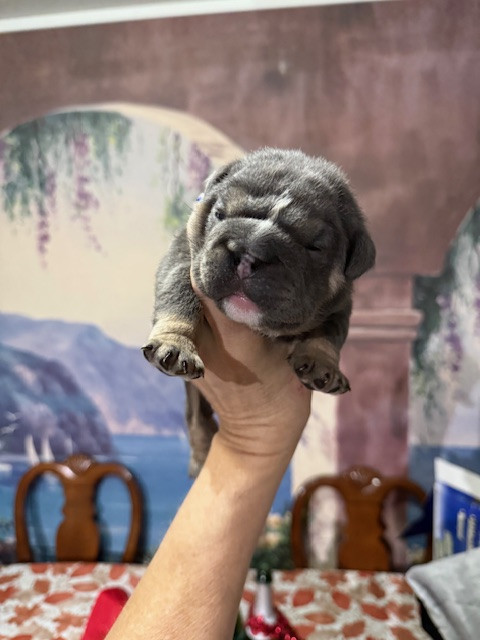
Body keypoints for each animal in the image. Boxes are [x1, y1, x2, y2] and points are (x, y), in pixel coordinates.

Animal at [142, 148, 375, 475]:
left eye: (314, 246)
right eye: (219, 214)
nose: (248, 251)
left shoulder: (339, 306)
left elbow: (329, 333)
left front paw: (323, 363)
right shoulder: (183, 258)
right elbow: (179, 294)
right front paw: (175, 342)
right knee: (196, 419)